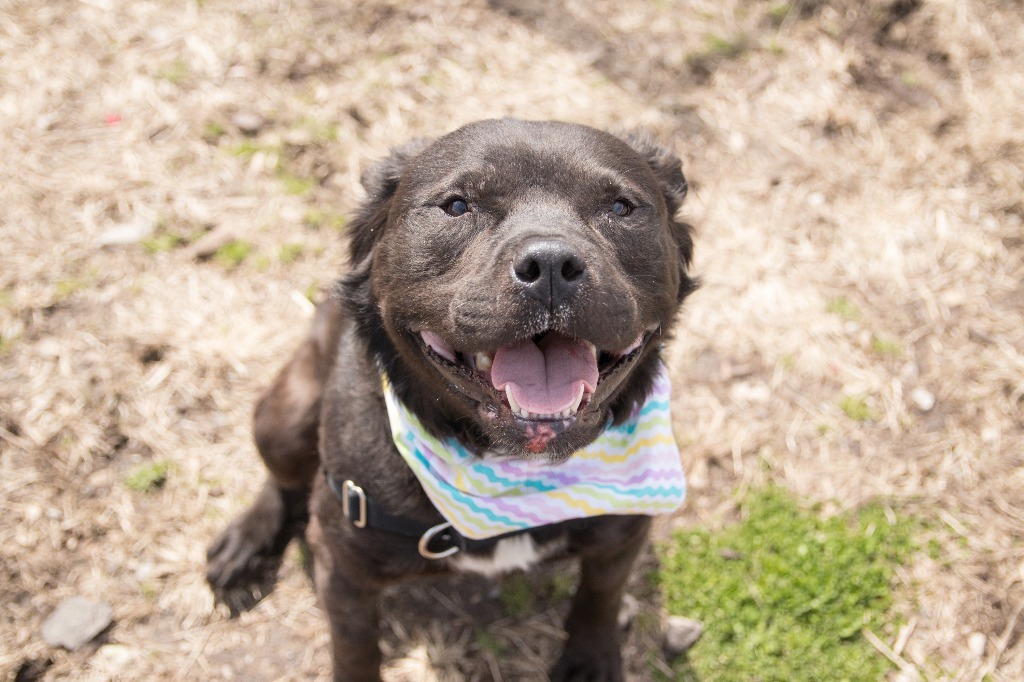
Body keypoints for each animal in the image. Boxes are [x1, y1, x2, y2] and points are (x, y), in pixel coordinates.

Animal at [206, 119, 696, 675]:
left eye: (621, 207)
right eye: (457, 205)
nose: (552, 262)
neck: (514, 472)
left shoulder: (623, 534)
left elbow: (601, 595)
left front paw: (591, 658)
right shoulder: (342, 569)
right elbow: (354, 647)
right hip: (285, 415)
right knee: (283, 479)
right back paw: (245, 543)